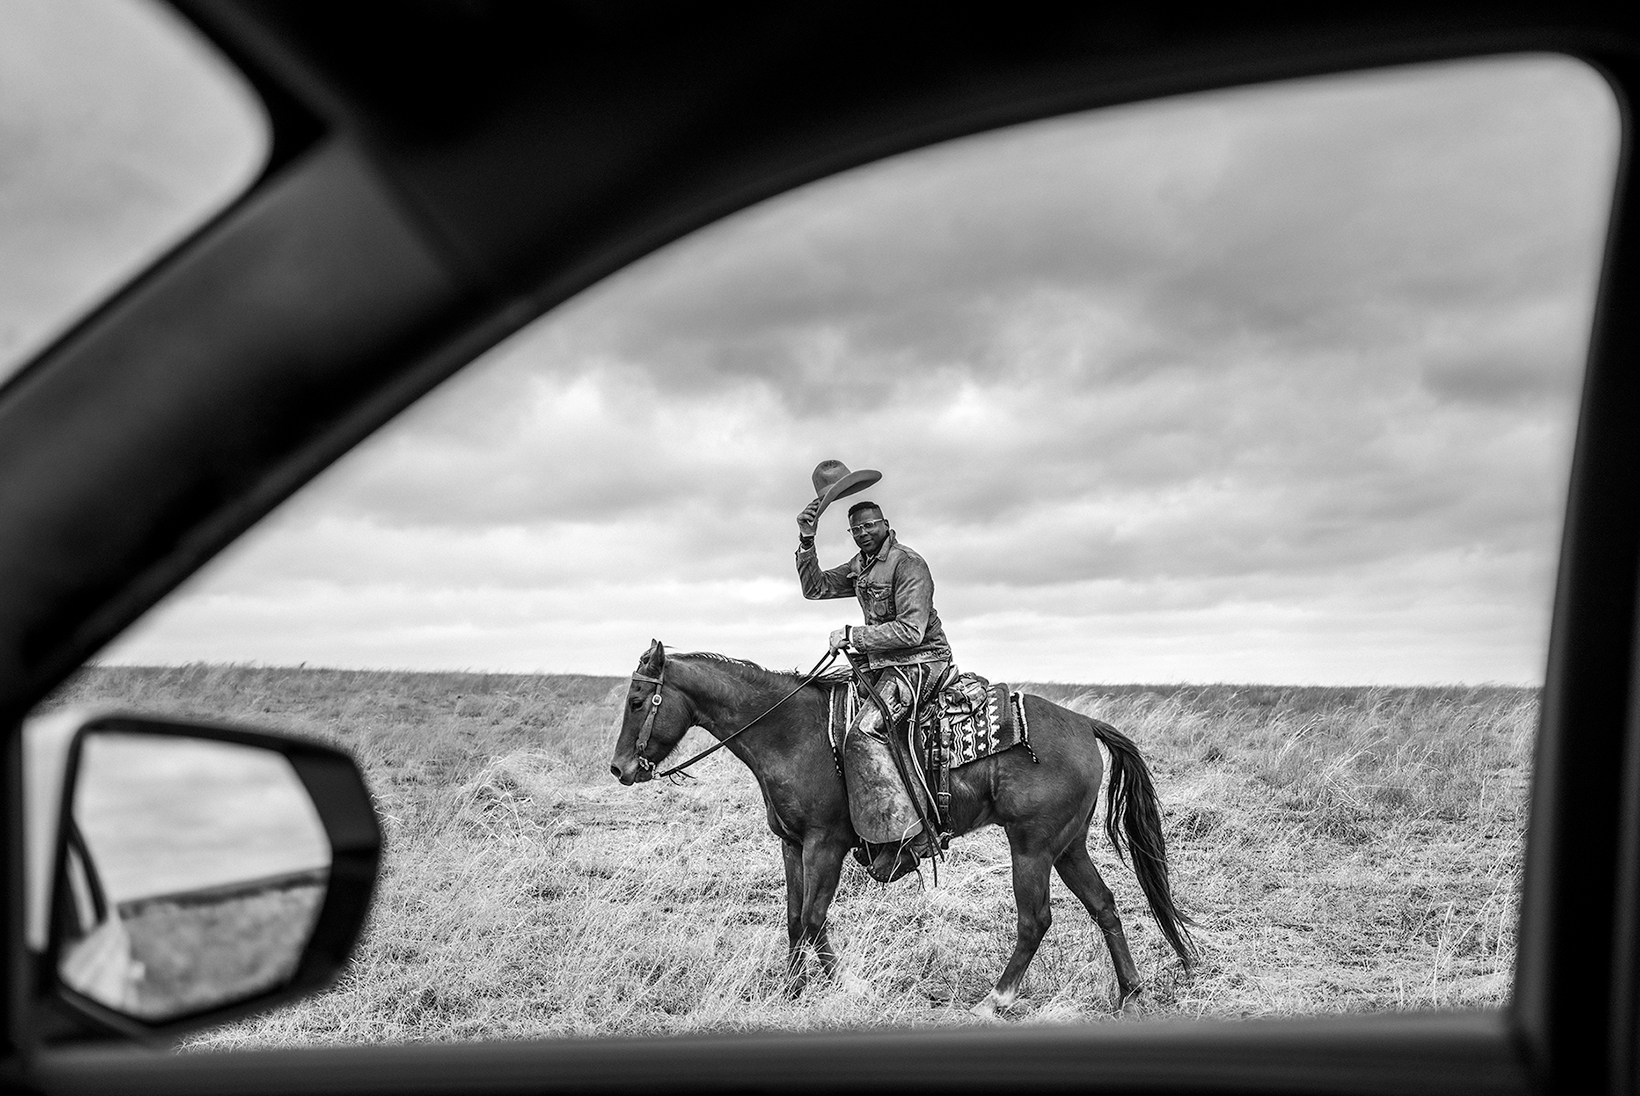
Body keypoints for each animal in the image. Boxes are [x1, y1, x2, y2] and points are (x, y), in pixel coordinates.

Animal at [610, 636, 1200, 1017]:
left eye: (638, 700)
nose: (619, 769)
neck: (793, 733)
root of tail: (1083, 723)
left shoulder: (825, 844)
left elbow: (815, 918)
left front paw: (846, 987)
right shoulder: (792, 845)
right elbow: (795, 919)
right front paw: (793, 991)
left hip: (1032, 848)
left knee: (1035, 920)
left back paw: (994, 1002)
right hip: (1068, 845)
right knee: (1104, 906)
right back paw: (1130, 994)